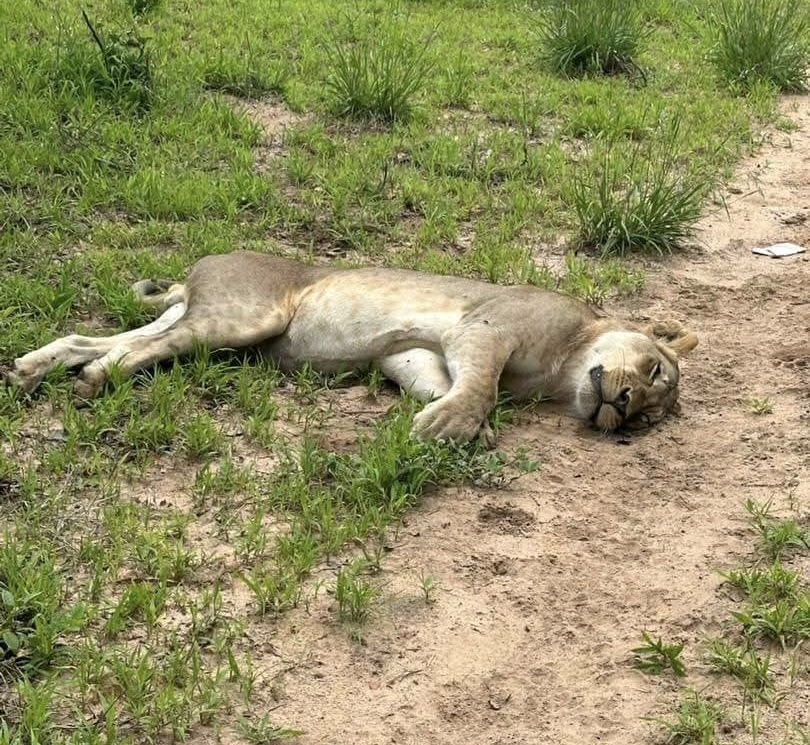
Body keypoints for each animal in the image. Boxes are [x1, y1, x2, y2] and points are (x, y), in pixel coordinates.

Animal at [7, 251, 698, 443]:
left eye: (650, 420)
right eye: (654, 370)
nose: (624, 408)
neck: (563, 372)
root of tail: (198, 269)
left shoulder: (412, 353)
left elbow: (442, 383)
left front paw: (451, 422)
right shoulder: (485, 328)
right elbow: (478, 389)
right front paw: (454, 426)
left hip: (208, 320)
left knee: (100, 338)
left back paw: (30, 370)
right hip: (245, 316)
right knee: (141, 349)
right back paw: (97, 378)